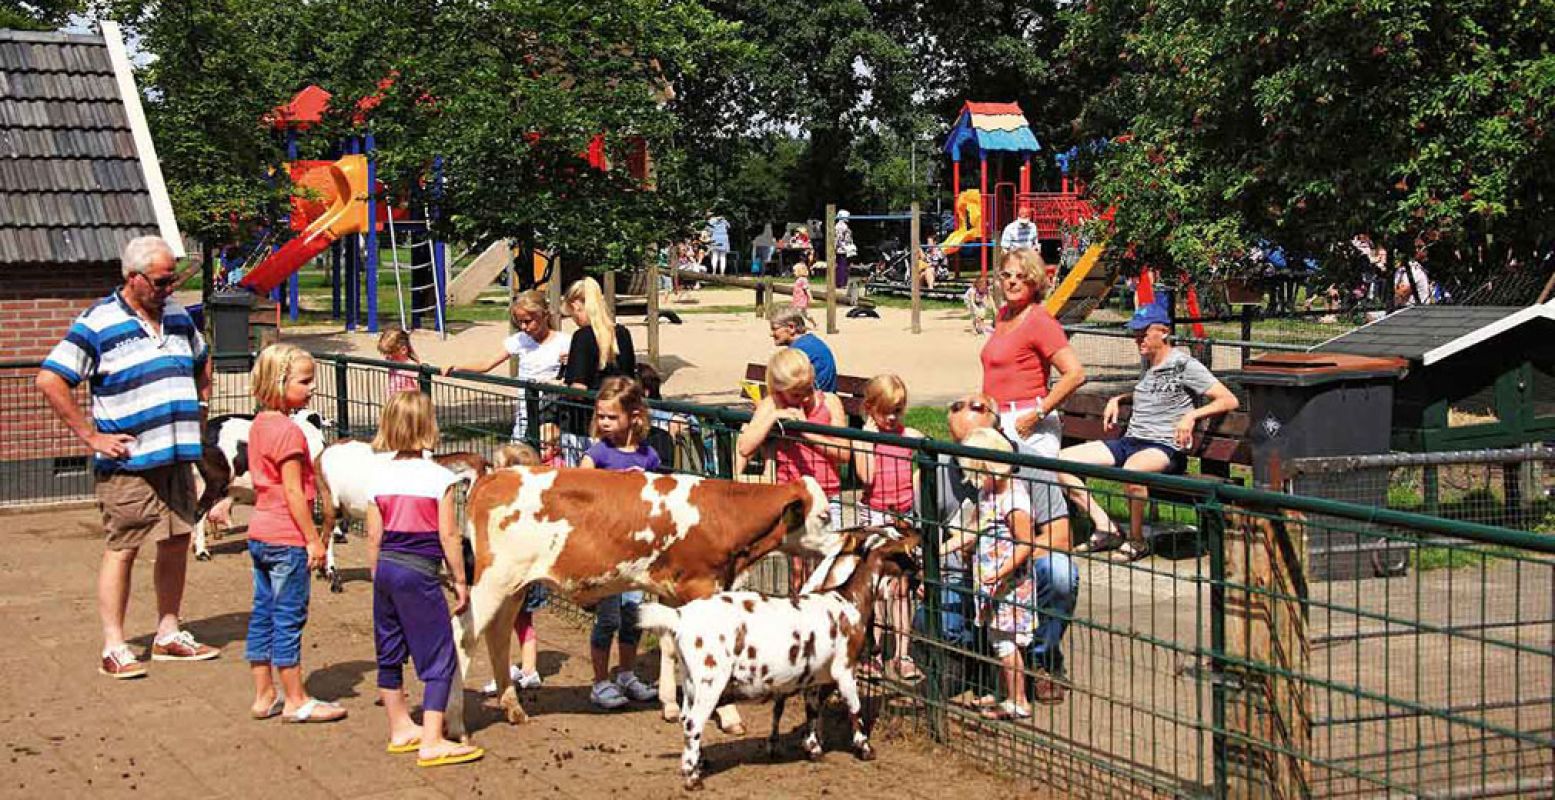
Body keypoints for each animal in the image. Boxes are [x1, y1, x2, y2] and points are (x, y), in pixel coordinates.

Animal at [447, 463, 839, 737]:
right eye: (824, 516)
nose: (842, 541)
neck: (721, 513)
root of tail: (494, 477)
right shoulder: (702, 586)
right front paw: (726, 715)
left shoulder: (672, 590)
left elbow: (669, 644)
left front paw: (671, 705)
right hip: (493, 581)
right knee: (462, 633)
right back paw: (455, 725)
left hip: (514, 586)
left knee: (497, 635)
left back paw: (513, 708)